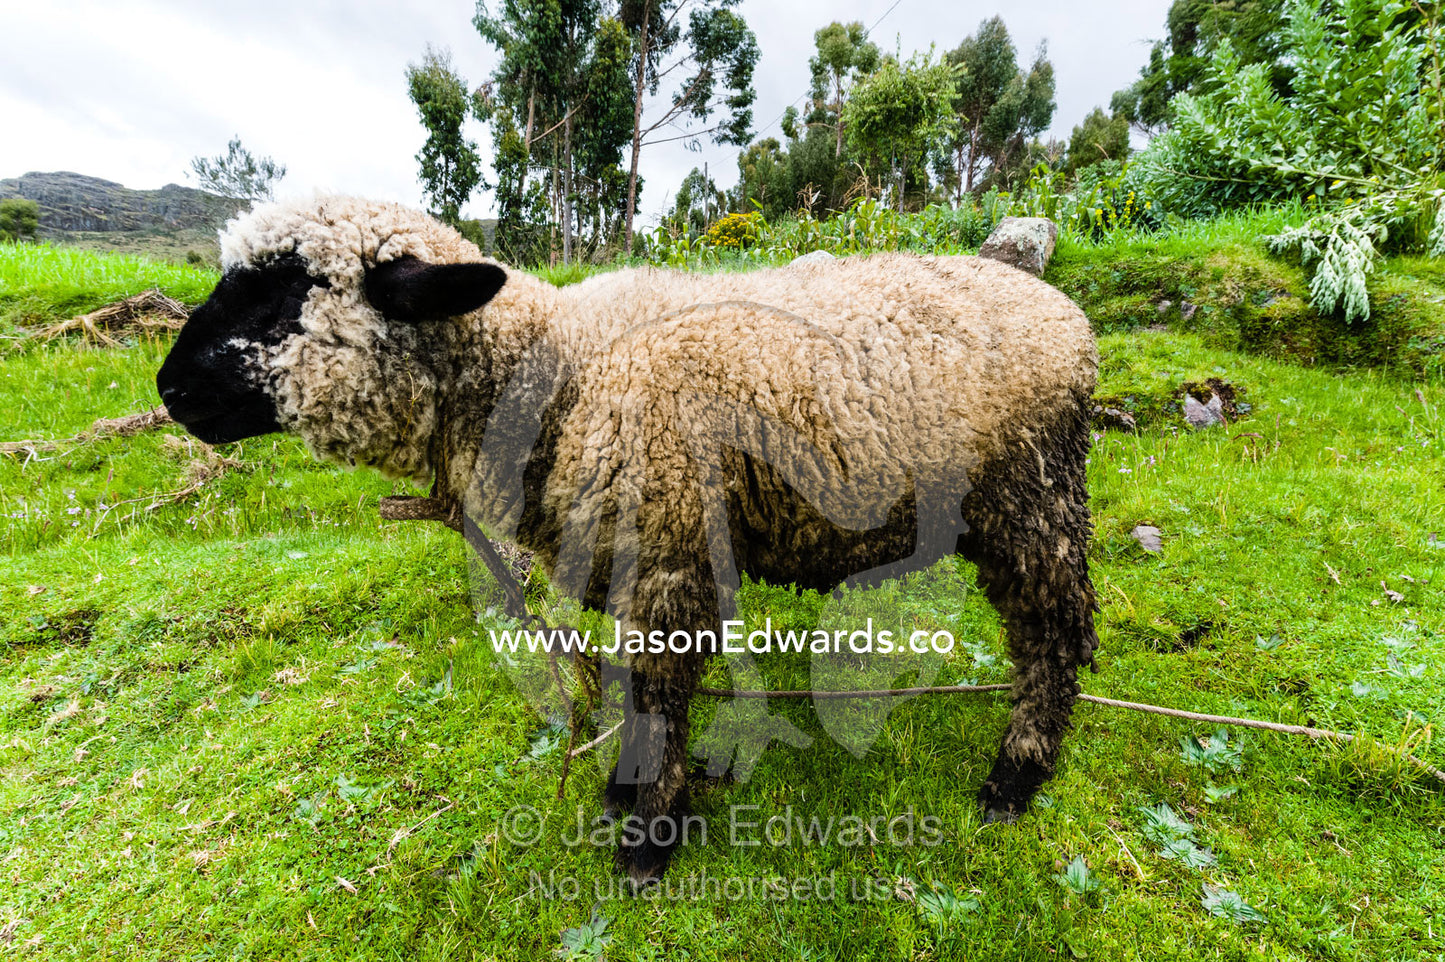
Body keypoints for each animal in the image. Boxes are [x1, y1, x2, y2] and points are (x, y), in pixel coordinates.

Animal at [157, 196, 1101, 885]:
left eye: (283, 294)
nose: (168, 390)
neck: (559, 370)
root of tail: (1068, 315)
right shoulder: (617, 554)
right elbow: (620, 683)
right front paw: (626, 792)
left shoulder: (667, 551)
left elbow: (656, 695)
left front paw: (648, 841)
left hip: (1031, 492)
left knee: (1054, 629)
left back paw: (1015, 777)